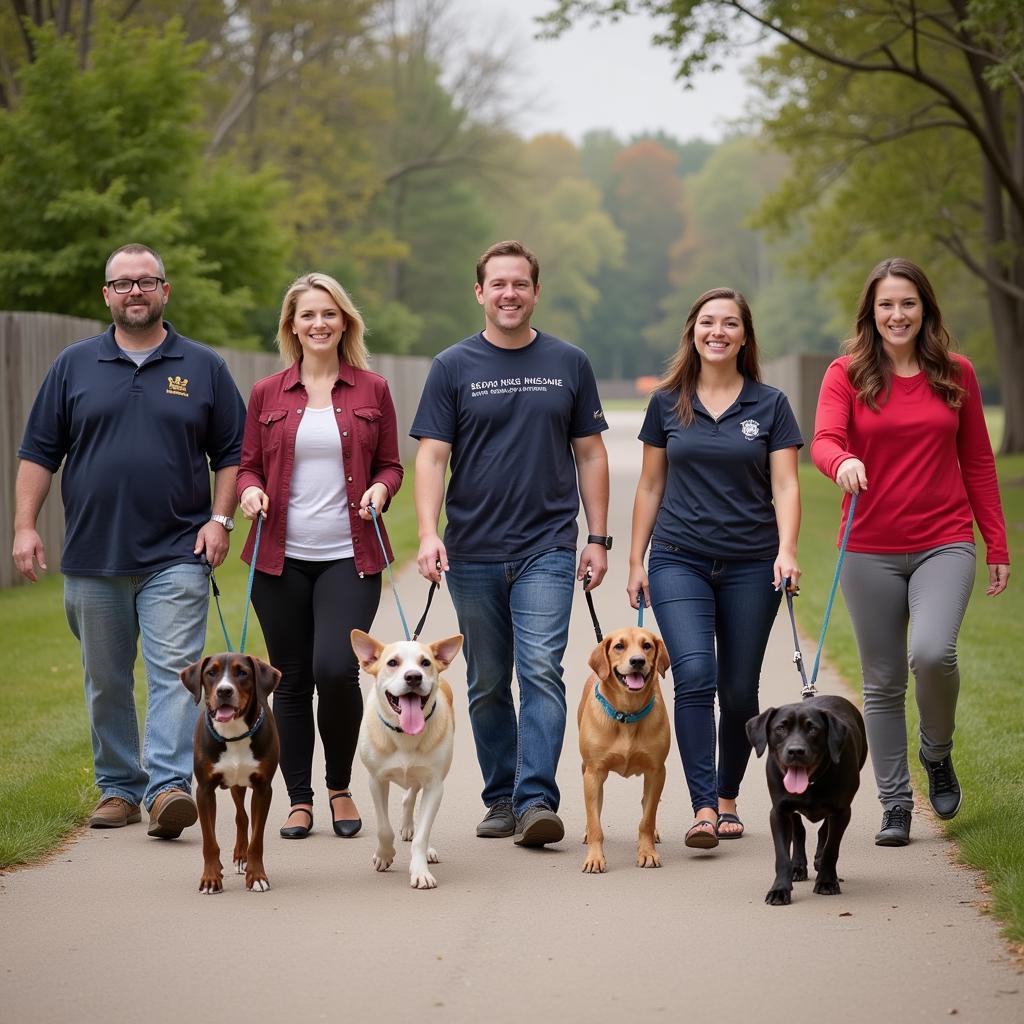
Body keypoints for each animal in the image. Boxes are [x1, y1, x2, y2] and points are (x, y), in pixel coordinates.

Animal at [182, 651, 280, 892]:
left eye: (242, 672)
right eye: (211, 672)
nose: (224, 691)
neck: (234, 734)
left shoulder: (263, 789)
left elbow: (257, 839)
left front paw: (257, 876)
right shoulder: (204, 790)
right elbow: (209, 841)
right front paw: (210, 878)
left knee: (244, 818)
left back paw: (242, 858)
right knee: (239, 817)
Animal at [354, 626, 462, 884]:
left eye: (425, 662)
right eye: (392, 662)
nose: (414, 676)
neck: (404, 734)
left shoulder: (434, 785)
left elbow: (423, 834)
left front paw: (420, 870)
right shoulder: (376, 780)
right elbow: (384, 828)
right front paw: (384, 855)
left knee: (413, 800)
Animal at [577, 622, 671, 872]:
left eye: (647, 645)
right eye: (619, 646)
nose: (637, 661)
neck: (627, 713)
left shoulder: (656, 772)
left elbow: (647, 818)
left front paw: (647, 852)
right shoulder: (594, 773)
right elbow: (595, 821)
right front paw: (595, 857)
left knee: (648, 805)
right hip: (587, 771)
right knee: (594, 808)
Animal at [745, 696, 864, 905]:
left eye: (813, 729)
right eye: (780, 728)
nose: (795, 751)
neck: (811, 782)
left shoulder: (842, 811)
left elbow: (831, 848)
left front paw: (827, 881)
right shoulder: (778, 812)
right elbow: (782, 855)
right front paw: (780, 889)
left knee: (823, 830)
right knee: (798, 830)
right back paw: (798, 867)